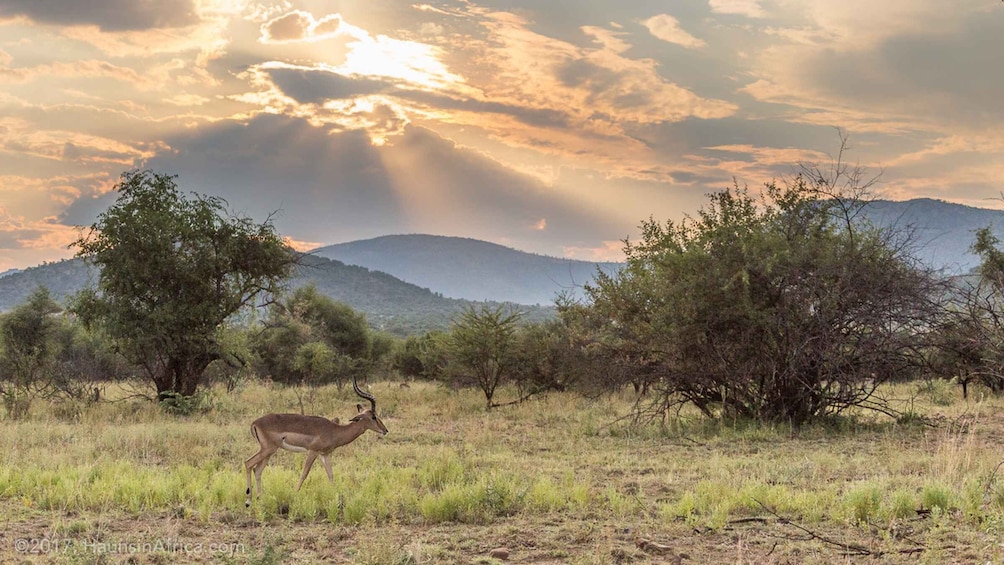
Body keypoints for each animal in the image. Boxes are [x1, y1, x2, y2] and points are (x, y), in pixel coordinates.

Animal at [243, 377, 387, 505]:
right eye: (373, 417)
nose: (385, 430)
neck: (335, 430)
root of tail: (254, 423)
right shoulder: (313, 451)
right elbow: (304, 474)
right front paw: (295, 494)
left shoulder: (324, 454)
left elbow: (331, 475)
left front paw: (337, 497)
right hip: (268, 449)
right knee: (248, 463)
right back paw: (248, 501)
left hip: (270, 452)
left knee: (257, 470)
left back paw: (259, 498)